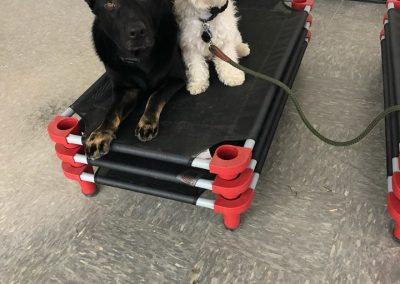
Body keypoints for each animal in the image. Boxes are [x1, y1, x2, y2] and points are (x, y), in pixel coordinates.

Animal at [85, 0, 185, 160]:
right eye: (110, 4)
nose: (137, 32)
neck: (140, 58)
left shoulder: (177, 78)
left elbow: (155, 96)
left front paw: (147, 122)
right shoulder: (125, 90)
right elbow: (112, 111)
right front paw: (100, 134)